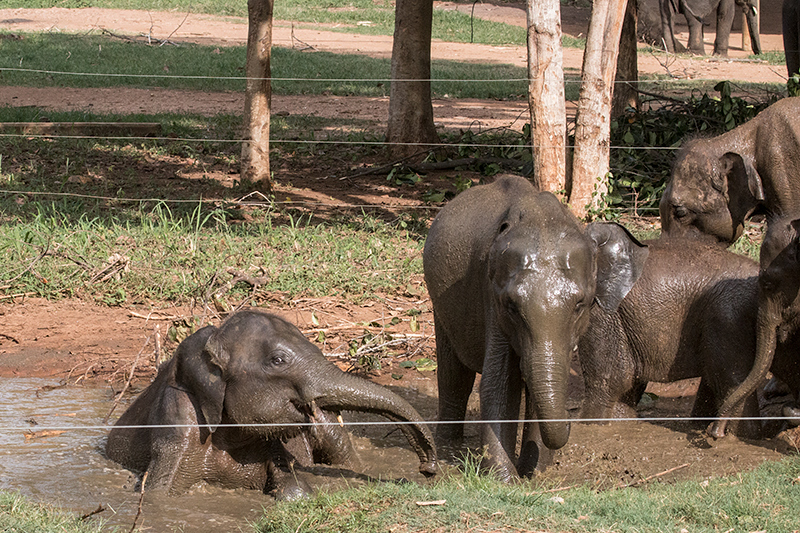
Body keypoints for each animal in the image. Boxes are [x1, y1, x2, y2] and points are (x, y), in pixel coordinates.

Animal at [424, 176, 648, 482]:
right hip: (439, 302)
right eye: (511, 306)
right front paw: (505, 480)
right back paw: (448, 447)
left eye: (581, 305)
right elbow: (500, 382)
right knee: (454, 374)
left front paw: (535, 473)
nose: (570, 421)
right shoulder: (491, 297)